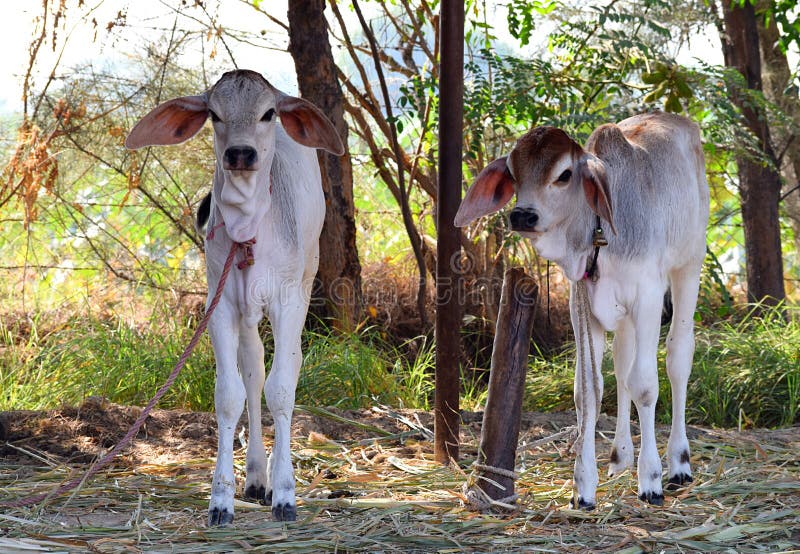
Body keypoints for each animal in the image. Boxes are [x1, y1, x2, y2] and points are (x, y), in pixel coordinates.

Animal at [126, 69, 346, 520]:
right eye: (214, 113)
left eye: (268, 113)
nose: (241, 153)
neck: (247, 225)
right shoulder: (222, 305)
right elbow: (230, 395)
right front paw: (221, 499)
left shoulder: (286, 302)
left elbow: (282, 389)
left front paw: (286, 493)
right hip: (245, 314)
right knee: (253, 370)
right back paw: (257, 476)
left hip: (304, 283)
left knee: (286, 368)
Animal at [454, 112, 708, 508]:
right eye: (513, 171)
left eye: (564, 174)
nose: (522, 216)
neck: (599, 233)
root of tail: (678, 120)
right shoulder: (583, 305)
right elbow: (589, 391)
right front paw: (583, 487)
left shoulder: (648, 297)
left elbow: (645, 385)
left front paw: (650, 479)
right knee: (621, 365)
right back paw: (620, 456)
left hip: (689, 266)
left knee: (677, 358)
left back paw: (678, 463)